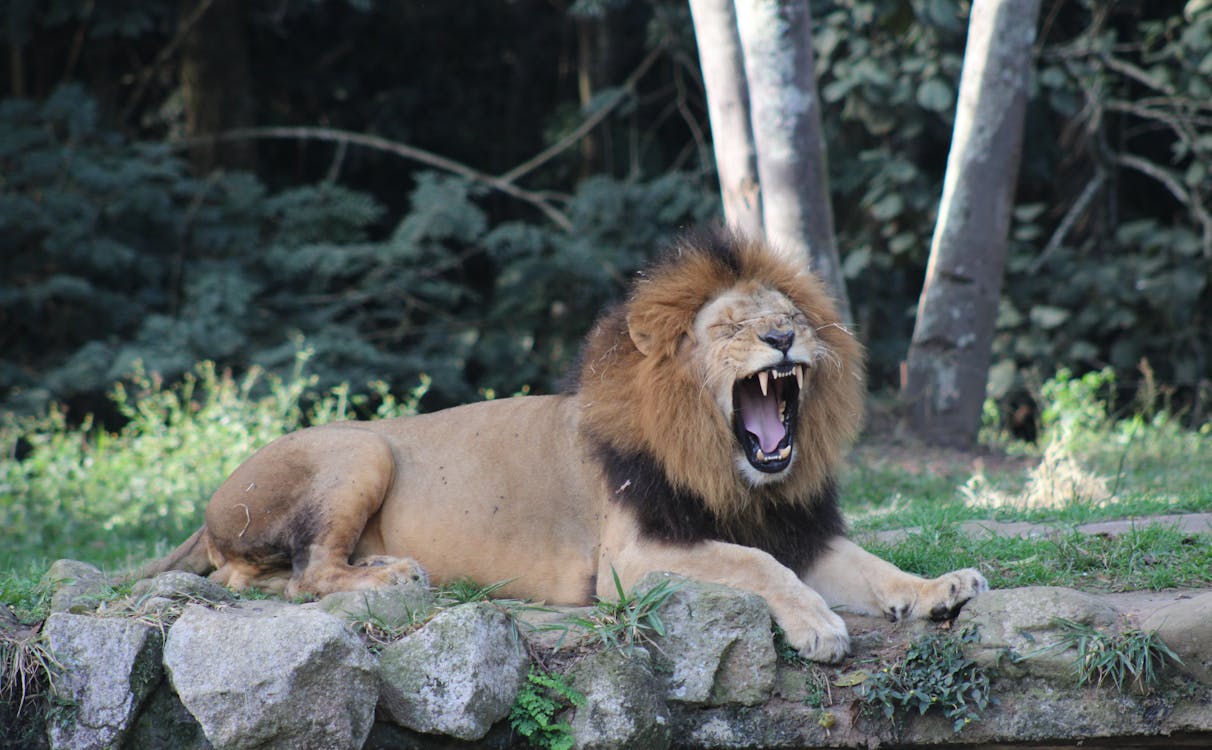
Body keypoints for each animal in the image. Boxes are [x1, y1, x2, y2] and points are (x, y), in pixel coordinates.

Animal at [141, 225, 988, 659]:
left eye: (794, 319)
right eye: (732, 329)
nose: (782, 339)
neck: (734, 473)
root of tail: (212, 501)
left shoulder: (797, 527)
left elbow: (874, 567)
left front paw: (940, 588)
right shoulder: (633, 557)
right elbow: (757, 567)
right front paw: (818, 626)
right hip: (364, 449)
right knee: (295, 574)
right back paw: (392, 574)